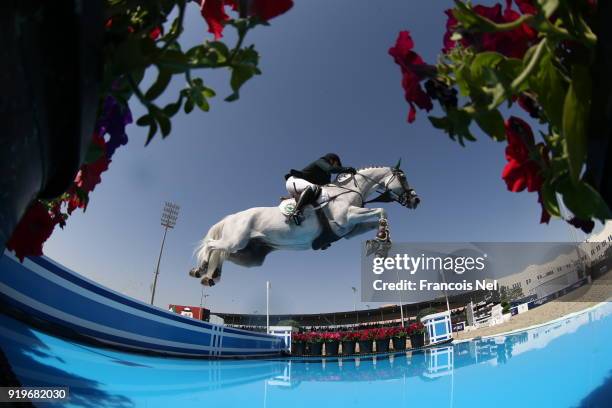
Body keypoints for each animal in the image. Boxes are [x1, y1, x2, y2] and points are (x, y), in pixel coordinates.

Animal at [189, 163, 418, 286]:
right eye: (404, 177)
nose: (416, 200)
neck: (351, 190)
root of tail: (231, 217)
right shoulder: (346, 217)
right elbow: (382, 211)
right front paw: (382, 242)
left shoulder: (348, 230)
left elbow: (374, 222)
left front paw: (380, 242)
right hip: (235, 240)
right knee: (211, 246)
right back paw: (200, 269)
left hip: (250, 255)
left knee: (222, 254)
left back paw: (211, 276)